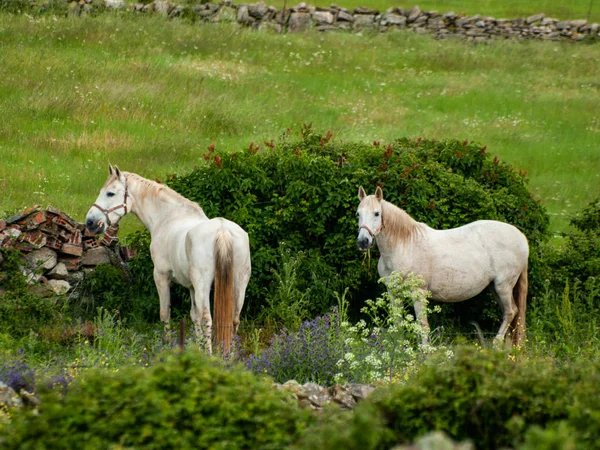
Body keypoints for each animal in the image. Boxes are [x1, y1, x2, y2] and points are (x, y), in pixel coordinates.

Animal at [86, 165, 251, 356]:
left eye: (110, 193)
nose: (90, 222)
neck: (169, 217)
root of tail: (222, 230)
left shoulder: (161, 277)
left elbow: (165, 314)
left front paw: (166, 347)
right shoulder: (191, 286)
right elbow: (194, 316)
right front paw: (198, 349)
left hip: (204, 284)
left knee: (207, 319)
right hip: (238, 283)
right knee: (234, 319)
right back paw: (231, 357)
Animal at [358, 185, 528, 346]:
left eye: (377, 213)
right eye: (358, 214)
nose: (363, 242)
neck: (404, 246)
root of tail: (521, 237)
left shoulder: (418, 292)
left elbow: (423, 325)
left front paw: (425, 352)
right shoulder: (393, 292)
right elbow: (398, 324)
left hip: (503, 286)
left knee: (511, 312)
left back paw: (496, 345)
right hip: (494, 287)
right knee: (510, 313)